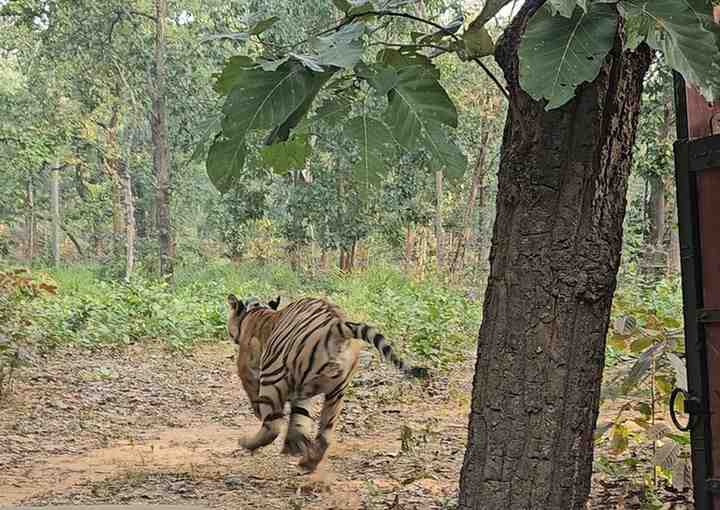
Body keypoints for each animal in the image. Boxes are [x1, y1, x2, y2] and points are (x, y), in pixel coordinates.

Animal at [226, 292, 428, 472]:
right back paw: (307, 463)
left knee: (273, 427)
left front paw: (259, 415)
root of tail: (336, 326)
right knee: (325, 435)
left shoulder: (247, 369)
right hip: (336, 392)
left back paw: (247, 442)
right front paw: (293, 446)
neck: (254, 311)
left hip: (272, 376)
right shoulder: (303, 393)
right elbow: (299, 419)